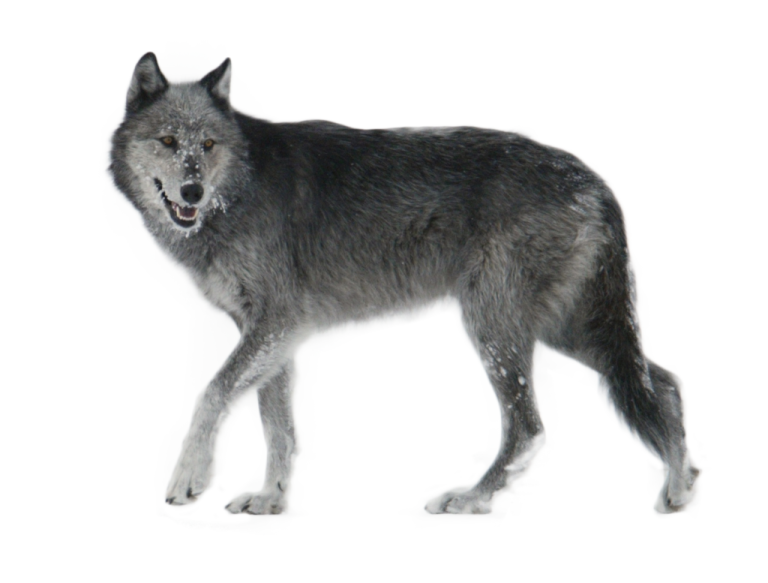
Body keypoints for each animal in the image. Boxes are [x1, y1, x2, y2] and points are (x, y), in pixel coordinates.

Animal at [108, 51, 702, 516]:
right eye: (168, 141)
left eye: (207, 145)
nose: (192, 191)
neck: (241, 187)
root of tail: (596, 179)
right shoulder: (274, 332)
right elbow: (278, 424)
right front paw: (271, 499)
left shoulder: (275, 322)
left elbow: (212, 394)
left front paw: (188, 479)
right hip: (567, 330)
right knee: (665, 381)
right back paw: (681, 491)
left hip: (495, 325)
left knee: (531, 427)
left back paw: (469, 502)